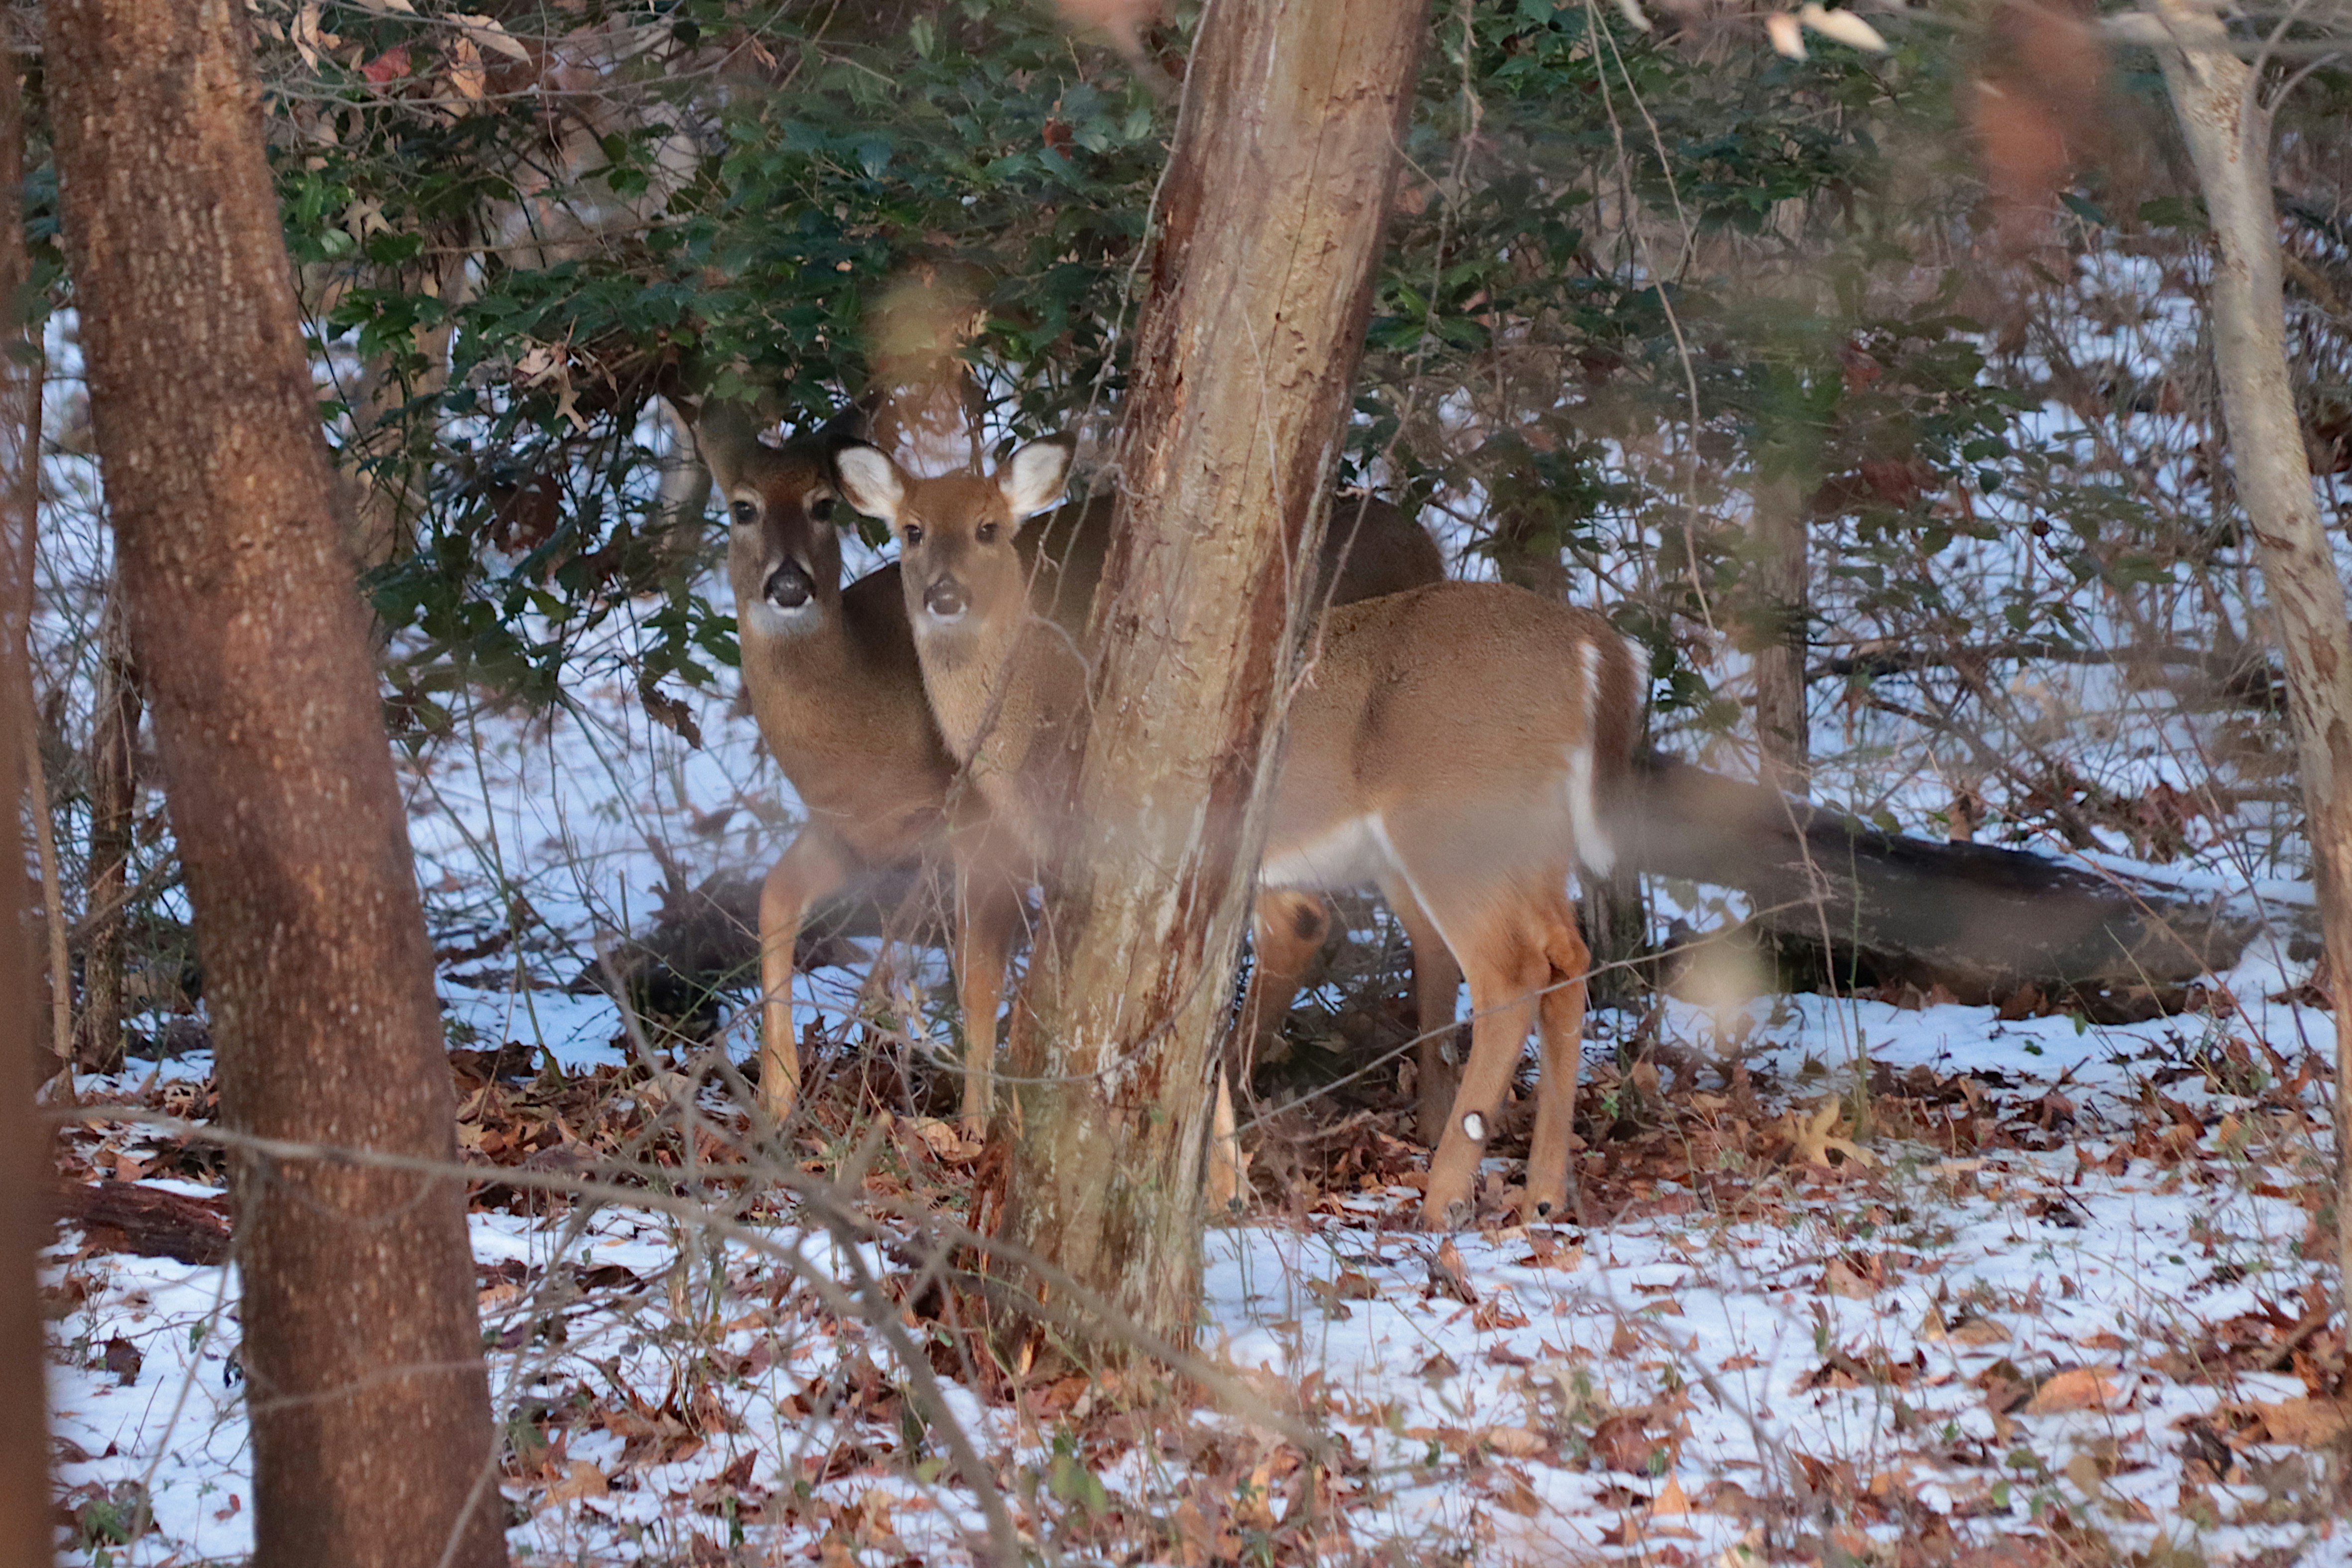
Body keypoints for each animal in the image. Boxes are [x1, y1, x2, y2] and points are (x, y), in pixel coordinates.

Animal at [698, 407, 1453, 1142]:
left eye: (823, 505)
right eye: (742, 507)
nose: (788, 584)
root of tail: (1431, 550)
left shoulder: (988, 831)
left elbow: (982, 975)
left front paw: (974, 1126)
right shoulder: (853, 836)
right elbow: (776, 899)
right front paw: (775, 1100)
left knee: (1305, 919)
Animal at [830, 438, 1645, 1229]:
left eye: (988, 528)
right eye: (912, 530)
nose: (944, 595)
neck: (1044, 728)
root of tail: (1593, 651)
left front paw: (1220, 1190)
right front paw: (1226, 1186)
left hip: (1454, 826)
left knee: (1511, 972)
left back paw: (1444, 1198)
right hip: (1532, 840)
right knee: (1567, 955)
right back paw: (1542, 1193)